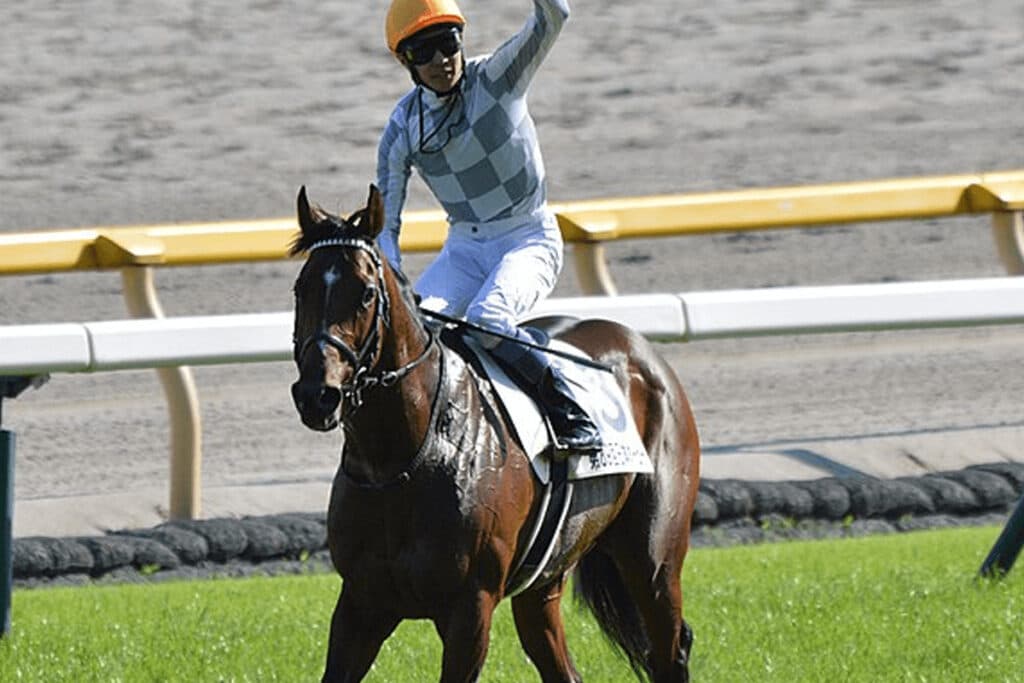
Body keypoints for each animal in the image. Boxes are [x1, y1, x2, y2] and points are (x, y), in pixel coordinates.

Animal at [289, 185, 701, 683]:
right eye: (301, 288)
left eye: (366, 293)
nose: (317, 395)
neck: (401, 458)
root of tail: (643, 351)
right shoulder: (360, 603)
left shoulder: (470, 607)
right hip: (544, 583)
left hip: (654, 559)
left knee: (670, 648)